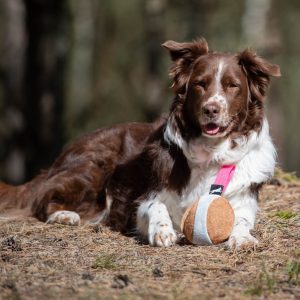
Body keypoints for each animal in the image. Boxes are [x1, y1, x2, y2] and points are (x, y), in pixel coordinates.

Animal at [0, 39, 282, 248]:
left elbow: (240, 219)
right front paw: (162, 230)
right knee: (43, 200)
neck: (211, 153)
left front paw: (243, 237)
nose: (211, 109)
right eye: (200, 84)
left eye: (233, 86)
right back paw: (64, 215)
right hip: (94, 167)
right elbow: (155, 205)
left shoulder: (243, 198)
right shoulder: (142, 199)